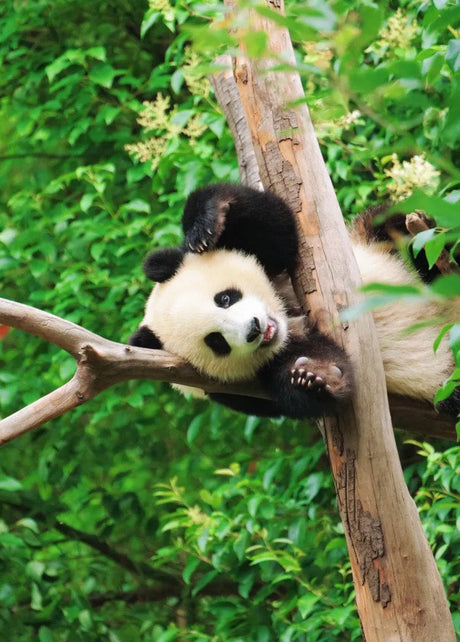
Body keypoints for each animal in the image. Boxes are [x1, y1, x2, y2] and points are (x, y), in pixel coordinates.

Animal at [129, 183, 460, 419]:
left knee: (396, 224)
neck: (287, 315)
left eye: (224, 298)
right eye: (216, 342)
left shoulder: (270, 258)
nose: (254, 328)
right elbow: (313, 378)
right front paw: (313, 376)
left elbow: (278, 227)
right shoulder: (239, 388)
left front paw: (207, 222)